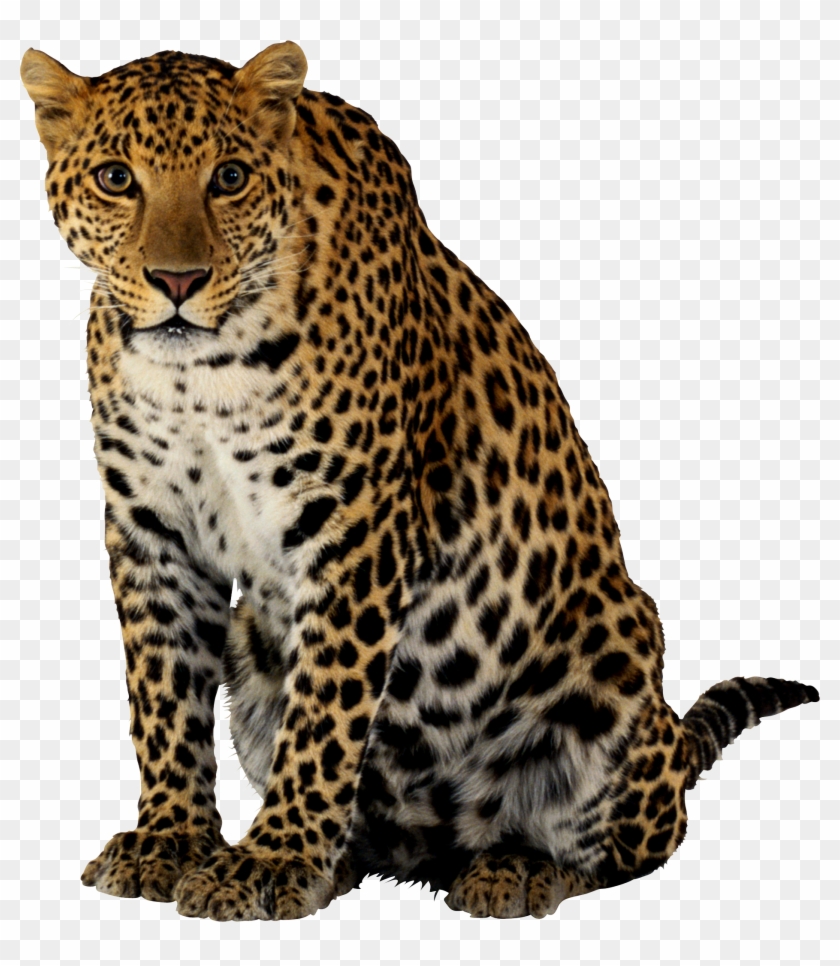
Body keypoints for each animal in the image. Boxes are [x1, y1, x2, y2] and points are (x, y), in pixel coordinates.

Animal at [20, 42, 820, 921]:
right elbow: (162, 693)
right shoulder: (151, 527)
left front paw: (270, 859)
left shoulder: (355, 523)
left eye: (228, 177)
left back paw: (517, 867)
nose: (177, 281)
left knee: (635, 845)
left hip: (615, 656)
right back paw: (349, 859)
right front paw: (171, 840)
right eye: (116, 178)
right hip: (252, 652)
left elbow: (325, 712)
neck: (199, 373)